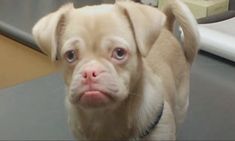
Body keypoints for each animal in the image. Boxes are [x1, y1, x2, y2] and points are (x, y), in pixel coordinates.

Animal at [32, 0, 199, 140]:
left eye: (119, 53)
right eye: (70, 55)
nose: (89, 73)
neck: (104, 117)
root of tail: (166, 29)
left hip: (181, 105)